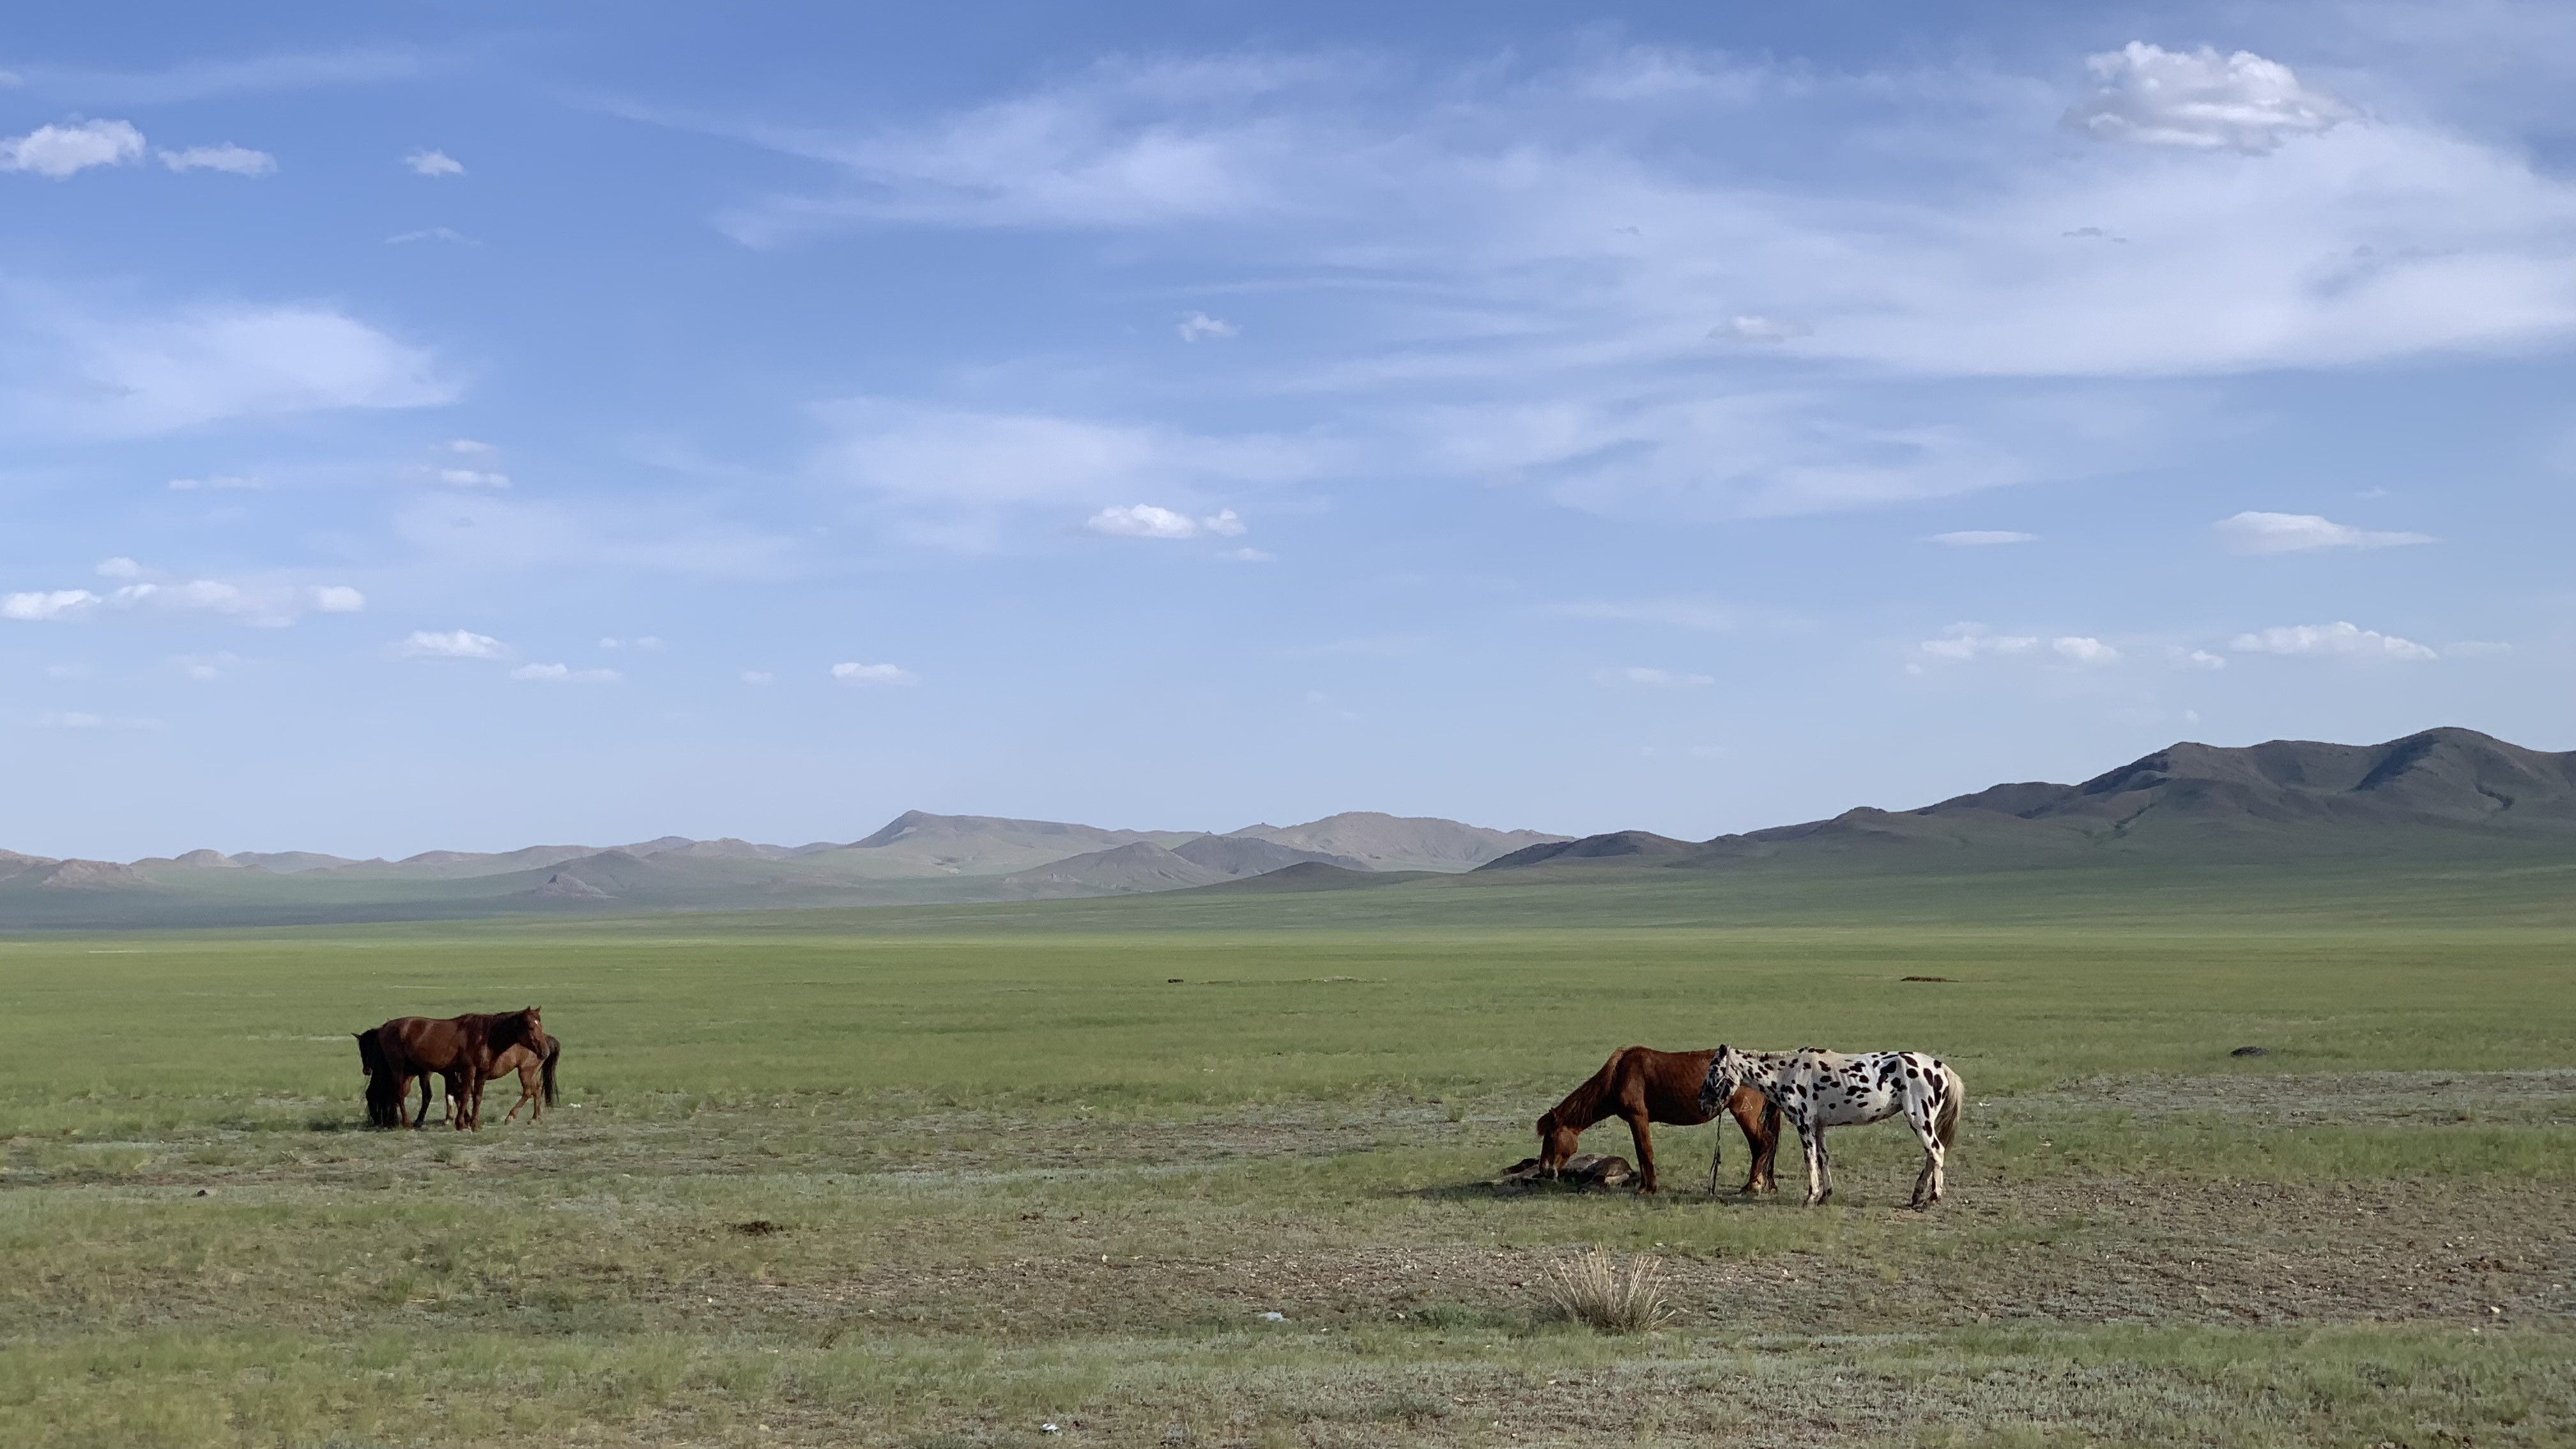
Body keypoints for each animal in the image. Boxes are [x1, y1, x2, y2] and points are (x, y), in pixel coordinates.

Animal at [361, 1008, 546, 1130]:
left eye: (541, 1026)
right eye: (531, 1027)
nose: (544, 1052)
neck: (486, 1036)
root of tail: (384, 1028)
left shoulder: (482, 1072)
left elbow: (477, 1097)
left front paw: (475, 1124)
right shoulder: (468, 1070)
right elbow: (464, 1095)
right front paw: (461, 1123)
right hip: (398, 1069)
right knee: (398, 1094)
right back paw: (405, 1123)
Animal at [1537, 1046, 1782, 1195]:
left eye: (1551, 1136)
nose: (1544, 1170)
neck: (1618, 1075)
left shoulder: (1638, 1118)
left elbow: (1645, 1152)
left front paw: (1648, 1189)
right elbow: (1641, 1153)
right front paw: (1646, 1186)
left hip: (1745, 1114)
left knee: (1763, 1144)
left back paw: (1752, 1187)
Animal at [1698, 1044, 1963, 1208]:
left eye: (1714, 1069)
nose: (1702, 1103)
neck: (1788, 1072)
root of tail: (1940, 1068)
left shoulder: (1805, 1125)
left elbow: (1810, 1159)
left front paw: (1811, 1197)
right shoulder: (1819, 1127)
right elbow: (1823, 1158)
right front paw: (1826, 1195)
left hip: (1920, 1120)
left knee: (1936, 1151)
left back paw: (1932, 1198)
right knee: (1932, 1154)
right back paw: (1917, 1196)